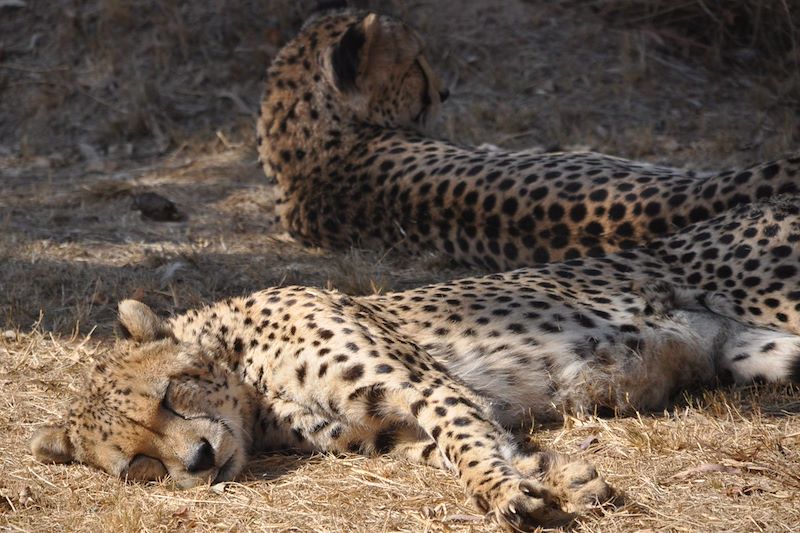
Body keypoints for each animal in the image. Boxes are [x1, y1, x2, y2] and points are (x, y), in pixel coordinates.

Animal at [29, 196, 800, 532]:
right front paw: (562, 480)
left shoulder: (419, 381)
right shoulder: (379, 431)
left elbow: (468, 447)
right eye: (139, 466)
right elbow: (460, 449)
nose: (196, 461)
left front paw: (504, 493)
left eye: (171, 393)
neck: (252, 381)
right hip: (763, 355)